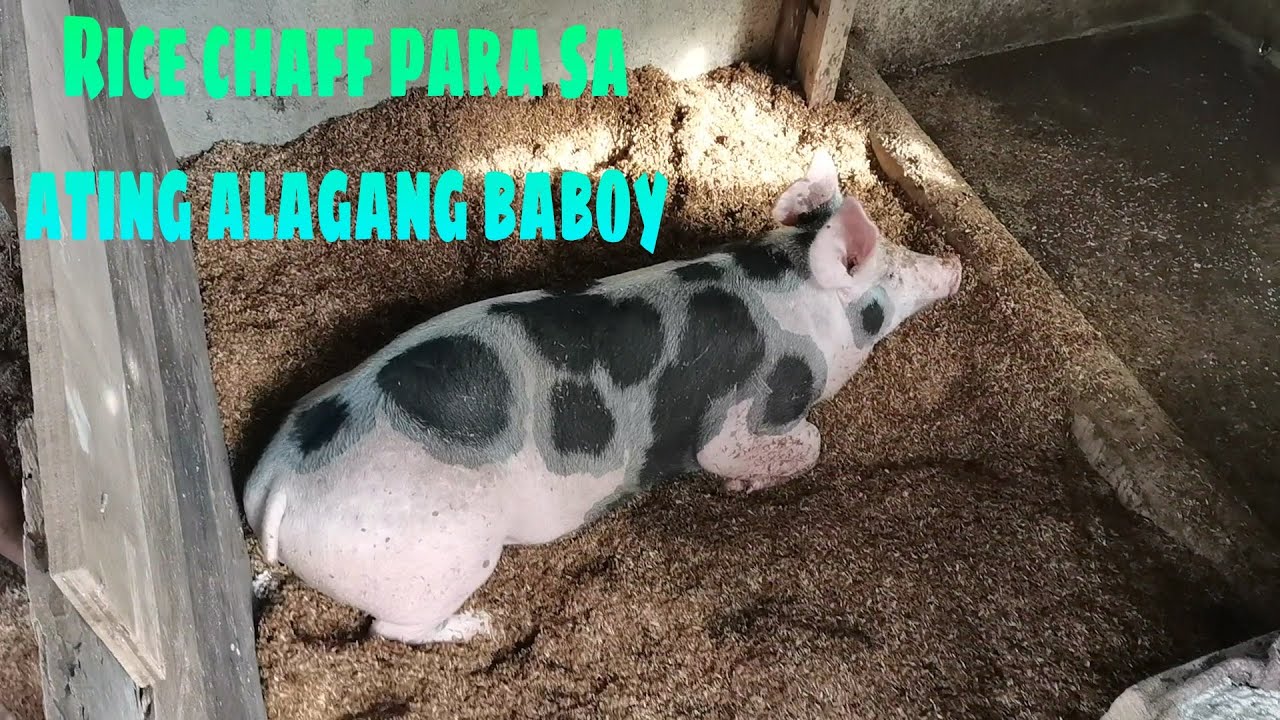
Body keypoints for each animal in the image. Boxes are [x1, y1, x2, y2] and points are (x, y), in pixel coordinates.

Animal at [242, 149, 962, 645]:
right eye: (893, 268)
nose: (954, 262)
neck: (789, 292)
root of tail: (280, 484)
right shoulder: (743, 415)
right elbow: (792, 442)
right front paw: (742, 487)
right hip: (435, 557)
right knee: (390, 630)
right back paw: (484, 626)